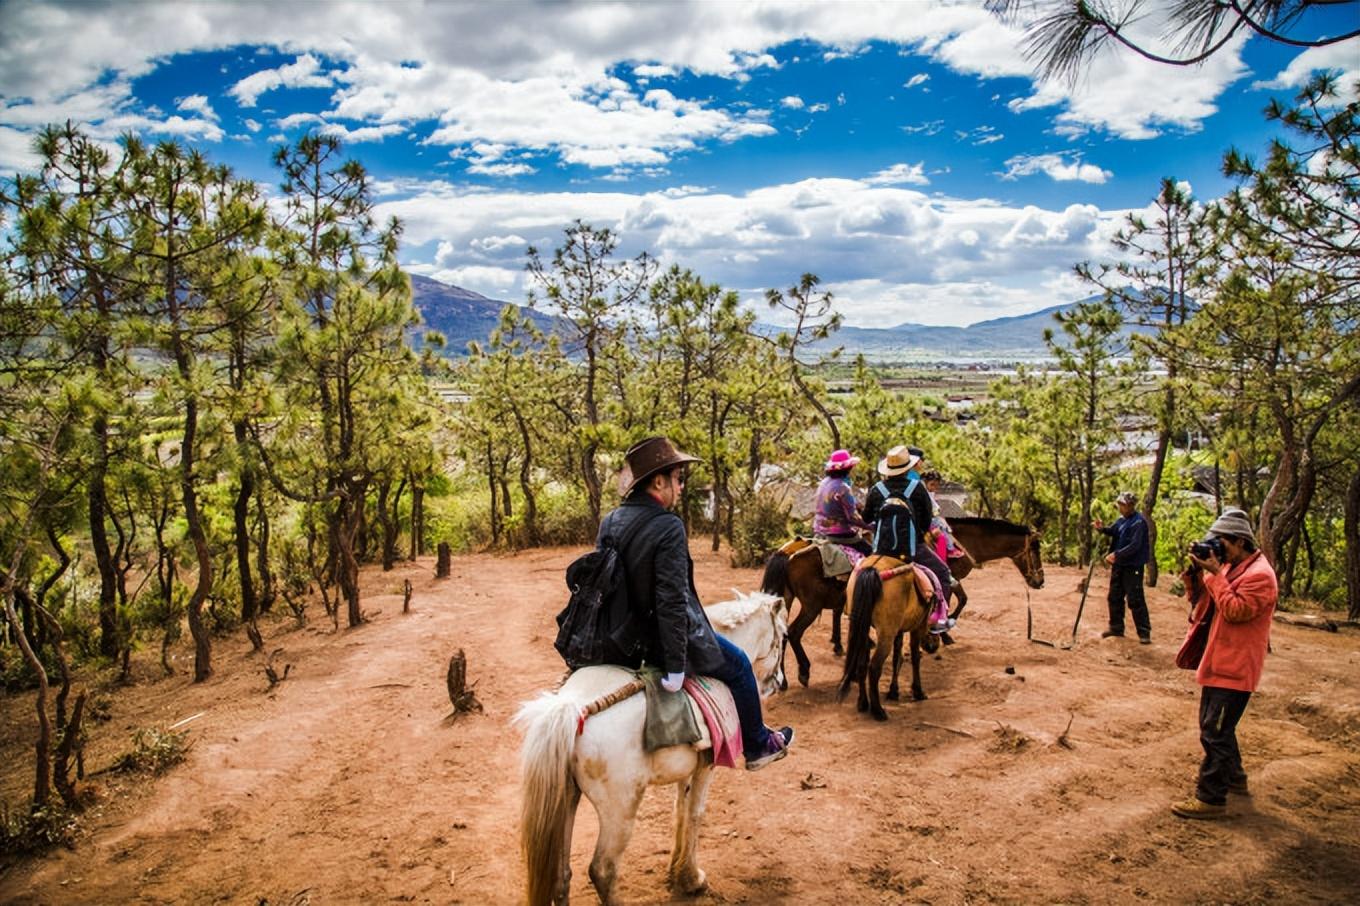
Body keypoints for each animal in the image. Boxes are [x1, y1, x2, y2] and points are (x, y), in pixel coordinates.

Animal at [514, 590, 794, 897]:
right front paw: (692, 878)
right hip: (620, 809)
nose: (780, 683)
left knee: (561, 876)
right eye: (784, 636)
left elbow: (680, 810)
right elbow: (695, 813)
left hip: (566, 798)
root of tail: (573, 707)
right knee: (602, 870)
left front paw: (678, 873)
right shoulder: (707, 767)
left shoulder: (689, 767)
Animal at [767, 514, 1039, 685]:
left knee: (782, 633)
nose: (1040, 581)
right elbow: (958, 599)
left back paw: (787, 677)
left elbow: (959, 599)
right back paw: (804, 671)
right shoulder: (946, 575)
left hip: (787, 599)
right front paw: (941, 633)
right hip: (811, 606)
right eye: (1036, 548)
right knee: (793, 632)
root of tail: (787, 554)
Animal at [837, 555, 935, 718]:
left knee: (862, 664)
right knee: (874, 667)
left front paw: (893, 691)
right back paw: (878, 711)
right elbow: (915, 657)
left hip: (862, 626)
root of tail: (872, 569)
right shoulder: (917, 627)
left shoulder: (898, 631)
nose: (933, 646)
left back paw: (863, 703)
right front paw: (918, 691)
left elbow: (897, 658)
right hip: (885, 634)